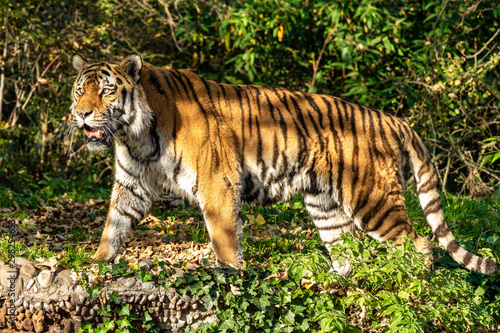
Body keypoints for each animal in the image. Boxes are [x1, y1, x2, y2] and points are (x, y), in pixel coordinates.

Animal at [69, 53, 496, 274]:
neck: (135, 133)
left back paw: (413, 287)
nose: (82, 114)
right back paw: (341, 285)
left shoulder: (217, 184)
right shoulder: (133, 183)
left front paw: (232, 279)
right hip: (326, 206)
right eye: (79, 90)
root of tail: (392, 118)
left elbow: (224, 240)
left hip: (372, 200)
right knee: (347, 250)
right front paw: (94, 268)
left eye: (106, 90)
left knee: (420, 244)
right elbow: (113, 227)